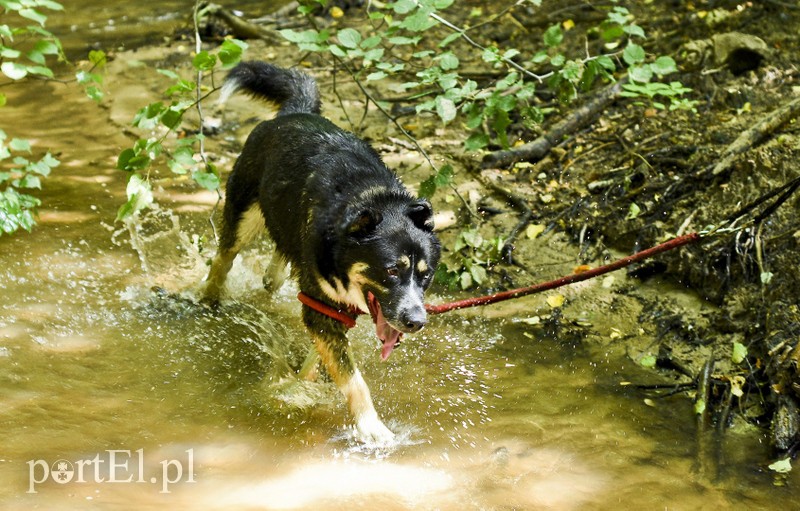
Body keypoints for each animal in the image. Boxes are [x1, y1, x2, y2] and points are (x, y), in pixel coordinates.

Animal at [200, 60, 438, 444]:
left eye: (425, 275)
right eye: (390, 270)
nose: (416, 322)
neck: (370, 200)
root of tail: (295, 112)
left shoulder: (330, 308)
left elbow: (324, 357)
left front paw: (302, 383)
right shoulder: (322, 306)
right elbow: (354, 380)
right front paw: (373, 429)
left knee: (281, 250)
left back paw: (273, 273)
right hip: (244, 213)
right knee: (223, 258)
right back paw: (208, 298)